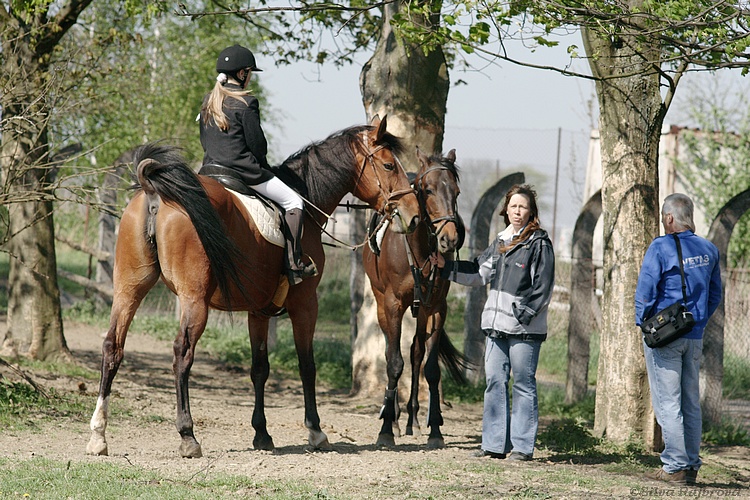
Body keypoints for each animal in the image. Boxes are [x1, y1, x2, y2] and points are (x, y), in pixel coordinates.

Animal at [86, 114, 424, 458]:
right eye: (388, 165)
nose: (413, 216)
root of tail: (154, 191)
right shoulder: (306, 304)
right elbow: (307, 365)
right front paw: (315, 431)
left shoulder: (258, 311)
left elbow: (259, 368)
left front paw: (262, 433)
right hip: (194, 300)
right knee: (182, 352)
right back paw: (187, 435)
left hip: (129, 288)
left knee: (112, 345)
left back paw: (98, 434)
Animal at [362, 146, 468, 448]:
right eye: (428, 190)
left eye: (456, 192)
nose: (449, 239)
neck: (420, 251)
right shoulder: (393, 305)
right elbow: (394, 363)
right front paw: (387, 428)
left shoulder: (436, 308)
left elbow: (430, 368)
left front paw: (435, 429)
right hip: (382, 306)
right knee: (391, 353)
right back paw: (396, 419)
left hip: (421, 312)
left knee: (416, 352)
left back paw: (413, 420)